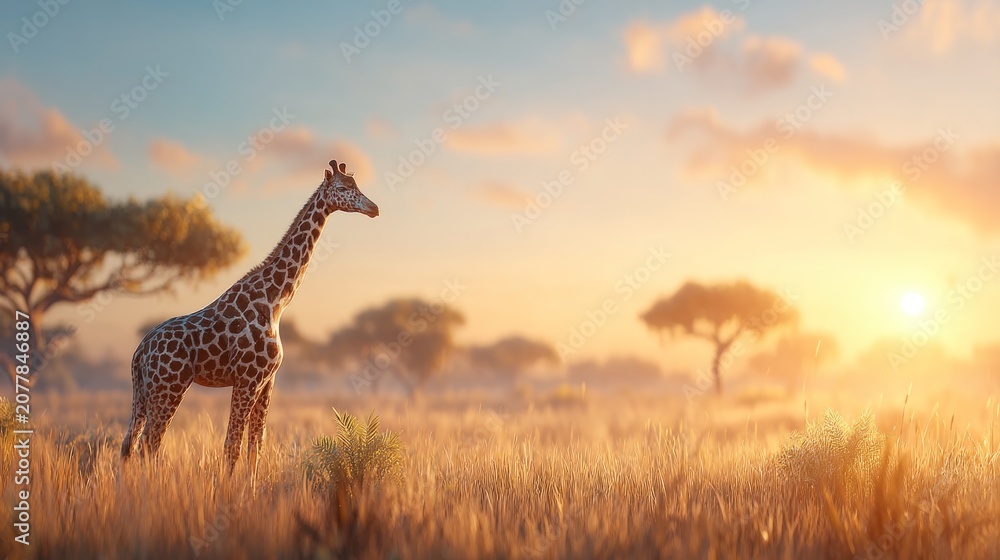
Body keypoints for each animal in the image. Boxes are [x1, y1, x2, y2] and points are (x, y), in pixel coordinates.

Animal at [121, 159, 378, 487]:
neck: (276, 300)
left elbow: (256, 446)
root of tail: (139, 352)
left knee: (129, 443)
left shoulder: (268, 380)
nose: (374, 208)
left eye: (357, 186)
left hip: (144, 390)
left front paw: (249, 491)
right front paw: (229, 493)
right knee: (149, 443)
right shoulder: (248, 378)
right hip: (169, 386)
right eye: (345, 188)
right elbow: (232, 444)